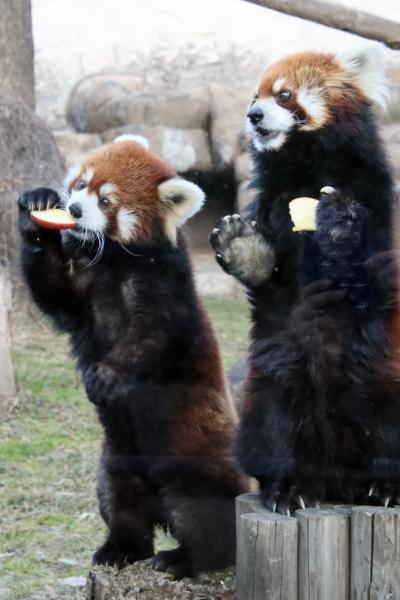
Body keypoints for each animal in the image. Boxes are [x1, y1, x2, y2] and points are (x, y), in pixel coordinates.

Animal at [19, 135, 250, 576]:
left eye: (107, 201)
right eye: (81, 184)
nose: (74, 209)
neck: (113, 260)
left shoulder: (166, 292)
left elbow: (149, 339)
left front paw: (105, 377)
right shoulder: (82, 291)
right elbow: (52, 289)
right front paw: (35, 208)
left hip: (192, 463)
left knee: (208, 516)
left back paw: (184, 559)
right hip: (113, 462)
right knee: (121, 506)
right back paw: (119, 549)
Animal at [209, 48, 400, 510]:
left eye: (284, 94)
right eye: (254, 96)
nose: (254, 115)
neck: (309, 170)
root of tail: (339, 480)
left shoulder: (376, 199)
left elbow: (370, 273)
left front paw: (339, 219)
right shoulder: (272, 203)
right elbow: (271, 280)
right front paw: (244, 247)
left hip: (388, 383)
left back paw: (385, 487)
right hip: (271, 385)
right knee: (274, 428)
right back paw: (287, 487)